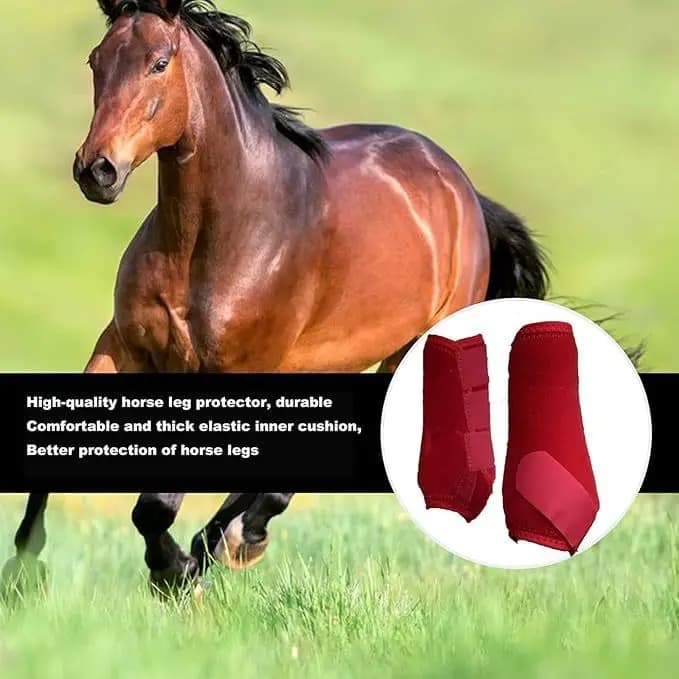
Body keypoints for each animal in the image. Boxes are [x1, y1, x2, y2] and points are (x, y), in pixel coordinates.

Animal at [2, 0, 549, 593]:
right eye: (96, 60)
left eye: (159, 62)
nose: (97, 170)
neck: (212, 238)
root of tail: (461, 189)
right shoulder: (125, 346)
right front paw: (23, 573)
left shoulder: (232, 370)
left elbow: (155, 506)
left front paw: (172, 570)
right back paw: (224, 542)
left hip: (405, 352)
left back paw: (232, 541)